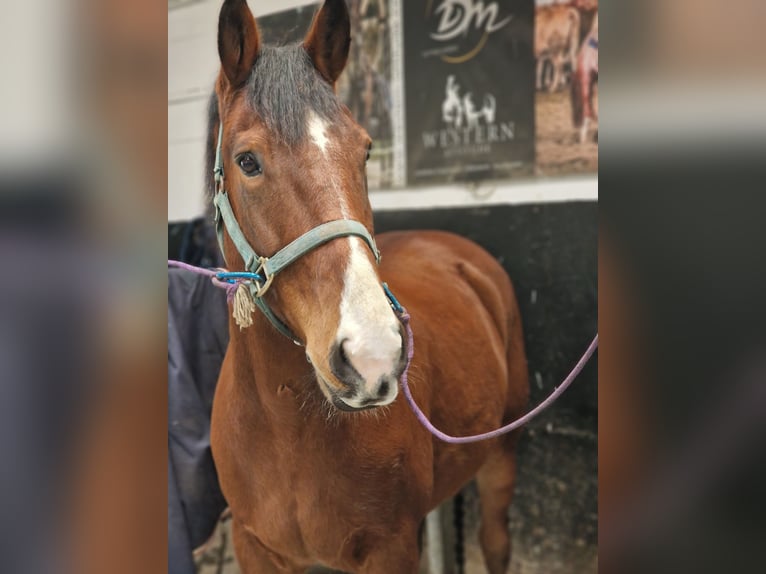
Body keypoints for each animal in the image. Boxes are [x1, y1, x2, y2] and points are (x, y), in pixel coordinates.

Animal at [208, 1, 529, 573]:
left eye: (365, 151)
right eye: (248, 161)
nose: (372, 355)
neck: (284, 424)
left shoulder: (389, 548)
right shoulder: (254, 546)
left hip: (502, 451)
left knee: (495, 540)